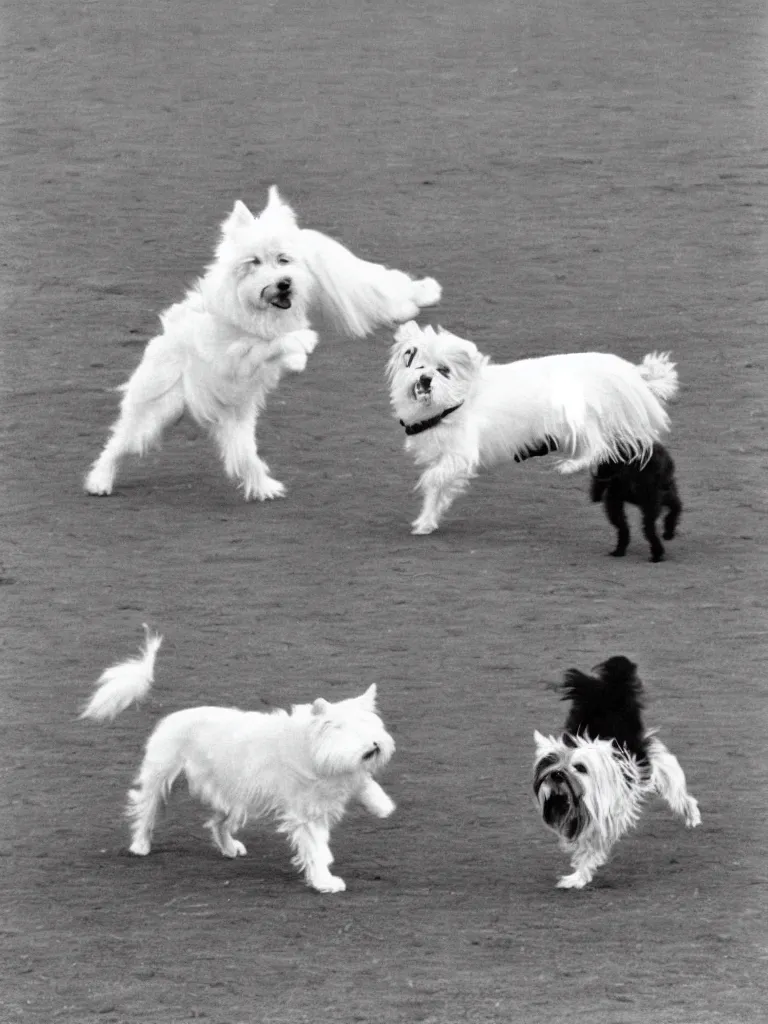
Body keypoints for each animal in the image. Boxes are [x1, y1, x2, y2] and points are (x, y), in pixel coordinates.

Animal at [84, 190, 442, 501]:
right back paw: (99, 481)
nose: (284, 283)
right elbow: (265, 345)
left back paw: (264, 487)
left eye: (283, 259)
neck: (258, 310)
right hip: (155, 411)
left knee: (244, 458)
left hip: (237, 421)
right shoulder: (235, 354)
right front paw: (298, 346)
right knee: (119, 444)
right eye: (254, 262)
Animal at [391, 323, 679, 536]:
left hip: (571, 415)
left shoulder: (459, 454)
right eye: (418, 366)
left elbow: (432, 479)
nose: (425, 380)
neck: (452, 404)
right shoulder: (445, 457)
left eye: (444, 370)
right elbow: (437, 489)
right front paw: (426, 521)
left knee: (597, 446)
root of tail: (621, 369)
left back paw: (570, 465)